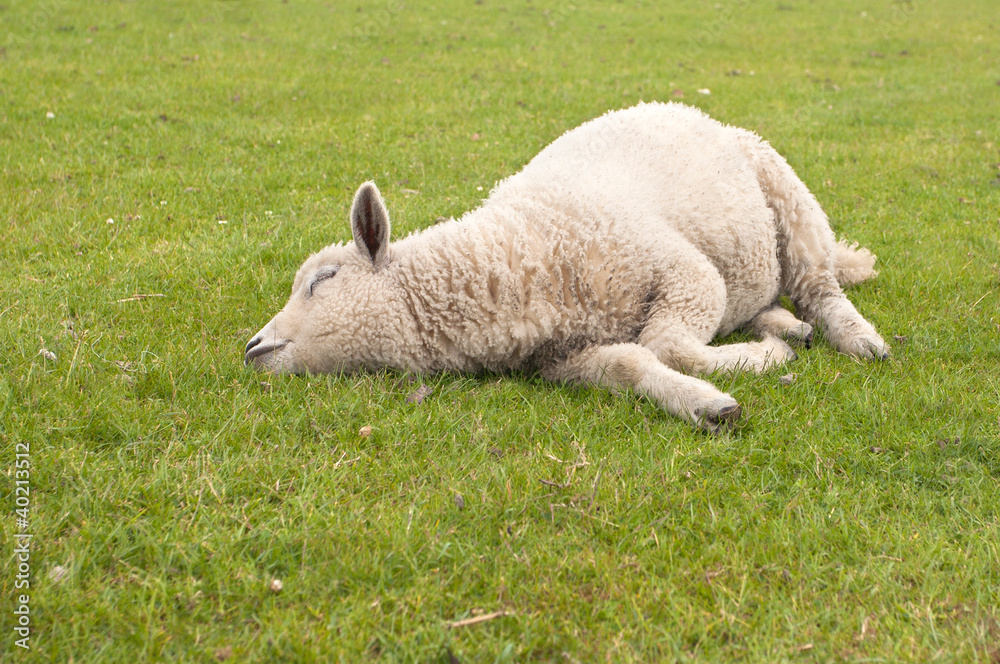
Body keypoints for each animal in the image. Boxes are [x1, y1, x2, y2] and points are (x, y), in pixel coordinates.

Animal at [245, 102, 888, 432]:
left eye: (322, 280)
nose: (253, 347)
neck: (516, 255)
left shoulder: (682, 269)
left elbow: (665, 343)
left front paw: (758, 363)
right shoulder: (564, 361)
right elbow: (633, 362)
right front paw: (704, 401)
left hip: (786, 193)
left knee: (819, 284)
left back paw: (853, 337)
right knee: (771, 299)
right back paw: (785, 327)